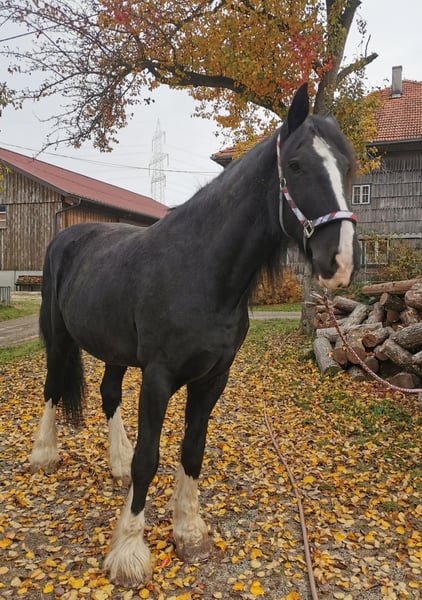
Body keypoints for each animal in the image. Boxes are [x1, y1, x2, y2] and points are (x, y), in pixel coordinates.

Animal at [29, 83, 360, 587]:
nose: (338, 263)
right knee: (52, 388)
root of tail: (68, 238)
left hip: (115, 350)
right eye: (297, 165)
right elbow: (150, 458)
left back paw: (116, 463)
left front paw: (189, 532)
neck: (201, 271)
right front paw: (129, 552)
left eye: (346, 166)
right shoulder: (159, 377)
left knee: (108, 394)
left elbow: (192, 449)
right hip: (61, 336)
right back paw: (44, 454)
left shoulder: (213, 378)